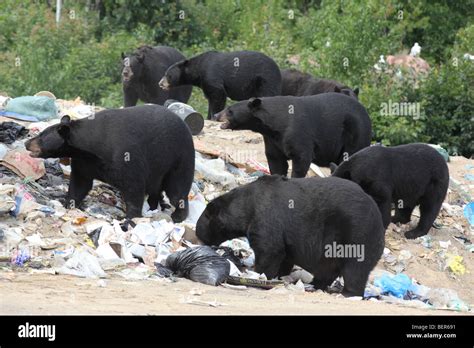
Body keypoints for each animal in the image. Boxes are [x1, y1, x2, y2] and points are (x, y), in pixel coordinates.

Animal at [25, 104, 195, 222]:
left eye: (41, 136)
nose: (26, 142)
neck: (90, 148)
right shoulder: (84, 162)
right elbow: (80, 183)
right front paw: (69, 203)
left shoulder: (125, 156)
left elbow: (133, 186)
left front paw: (131, 217)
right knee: (156, 190)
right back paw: (154, 206)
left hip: (179, 158)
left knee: (177, 190)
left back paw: (177, 215)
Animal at [196, 177, 386, 296]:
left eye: (204, 221)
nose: (198, 235)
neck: (248, 207)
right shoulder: (286, 237)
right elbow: (284, 256)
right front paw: (280, 276)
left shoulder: (266, 217)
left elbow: (269, 250)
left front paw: (258, 275)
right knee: (328, 268)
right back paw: (315, 285)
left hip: (357, 233)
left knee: (355, 268)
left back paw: (348, 292)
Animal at [217, 93, 372, 177]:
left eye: (229, 110)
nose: (216, 115)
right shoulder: (272, 139)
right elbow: (276, 159)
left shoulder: (297, 131)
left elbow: (301, 157)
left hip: (356, 134)